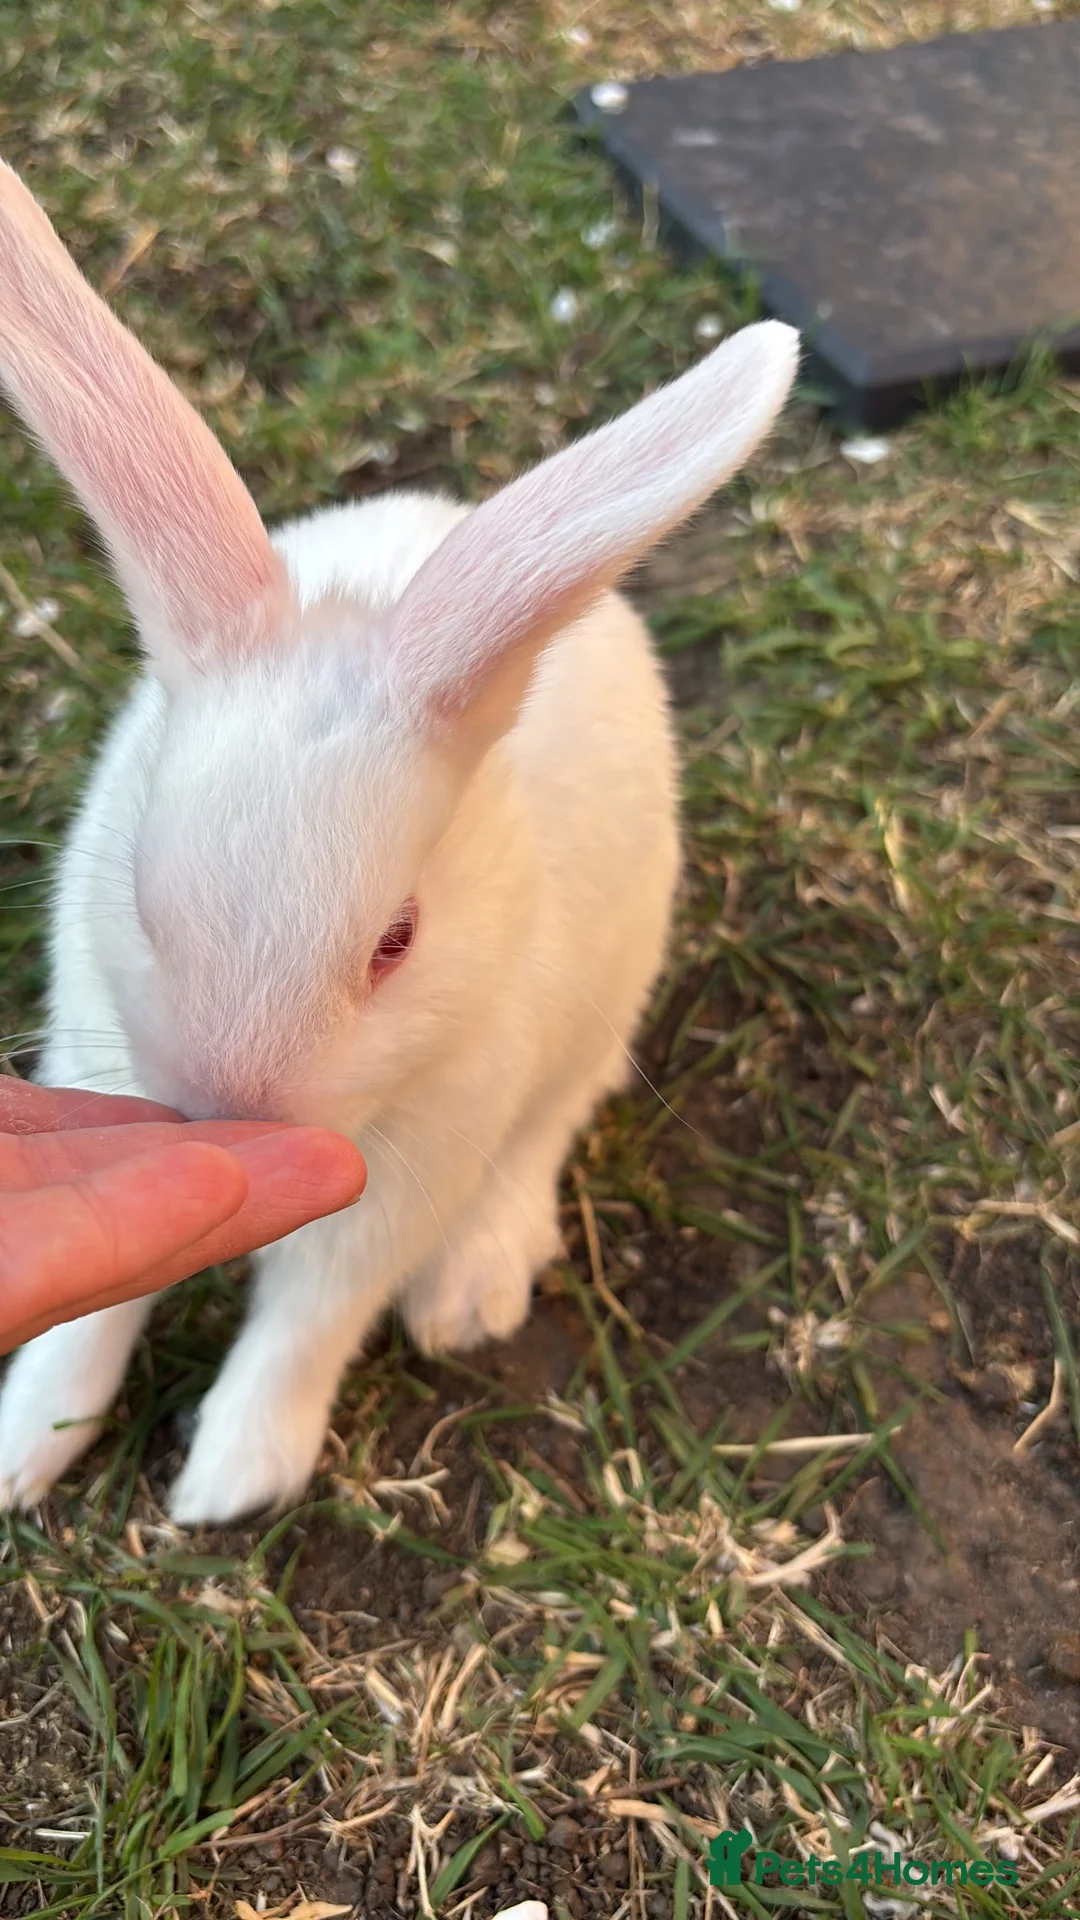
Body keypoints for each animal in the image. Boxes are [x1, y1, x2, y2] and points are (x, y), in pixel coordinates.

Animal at [0, 157, 799, 1526]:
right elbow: (89, 1327)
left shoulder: (412, 1170)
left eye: (397, 942)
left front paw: (227, 1483)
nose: (231, 1107)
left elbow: (310, 1319)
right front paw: (23, 1449)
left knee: (549, 1131)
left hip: (603, 999)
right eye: (147, 911)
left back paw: (471, 1294)